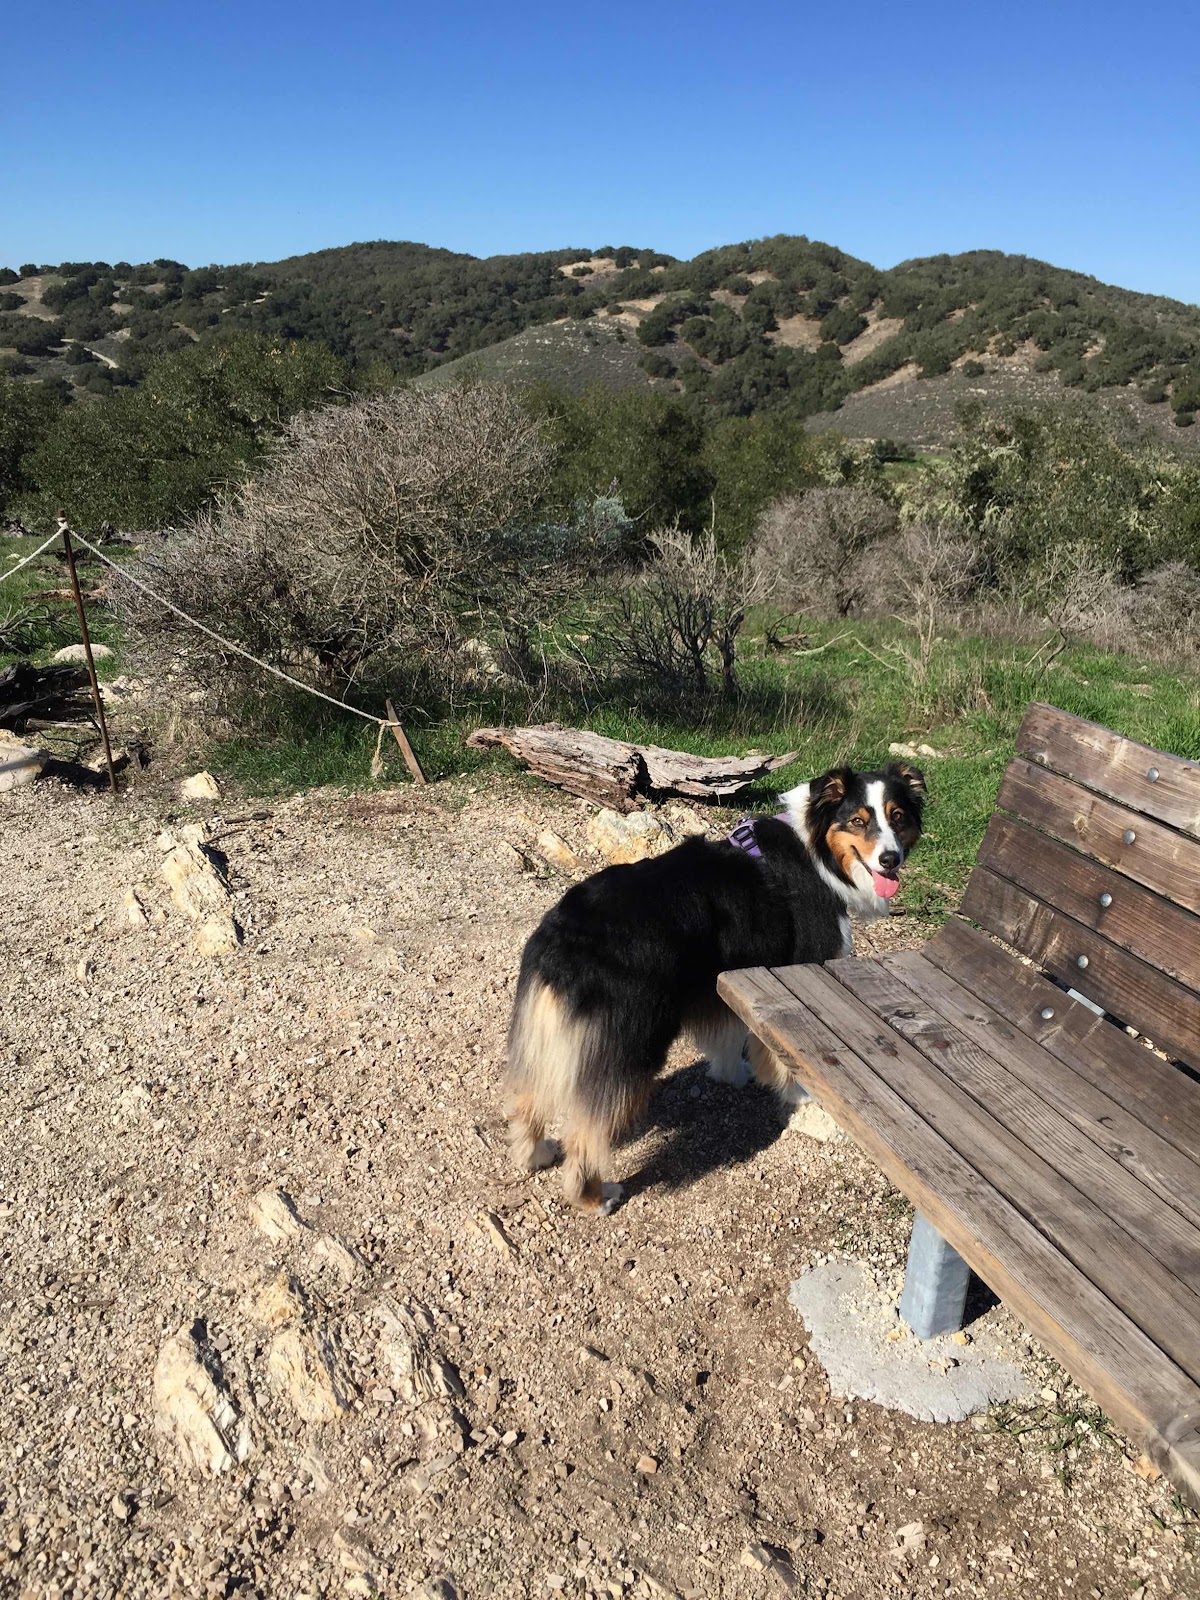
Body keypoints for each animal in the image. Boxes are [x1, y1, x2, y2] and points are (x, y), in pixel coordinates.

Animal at [503, 761, 925, 1213]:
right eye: (858, 821)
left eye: (898, 817)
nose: (890, 859)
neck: (819, 852)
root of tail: (561, 942)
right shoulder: (791, 973)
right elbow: (783, 1055)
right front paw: (798, 1095)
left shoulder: (725, 979)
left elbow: (728, 1036)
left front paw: (733, 1074)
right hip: (632, 1042)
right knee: (586, 1133)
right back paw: (595, 1196)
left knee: (528, 1097)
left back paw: (535, 1154)